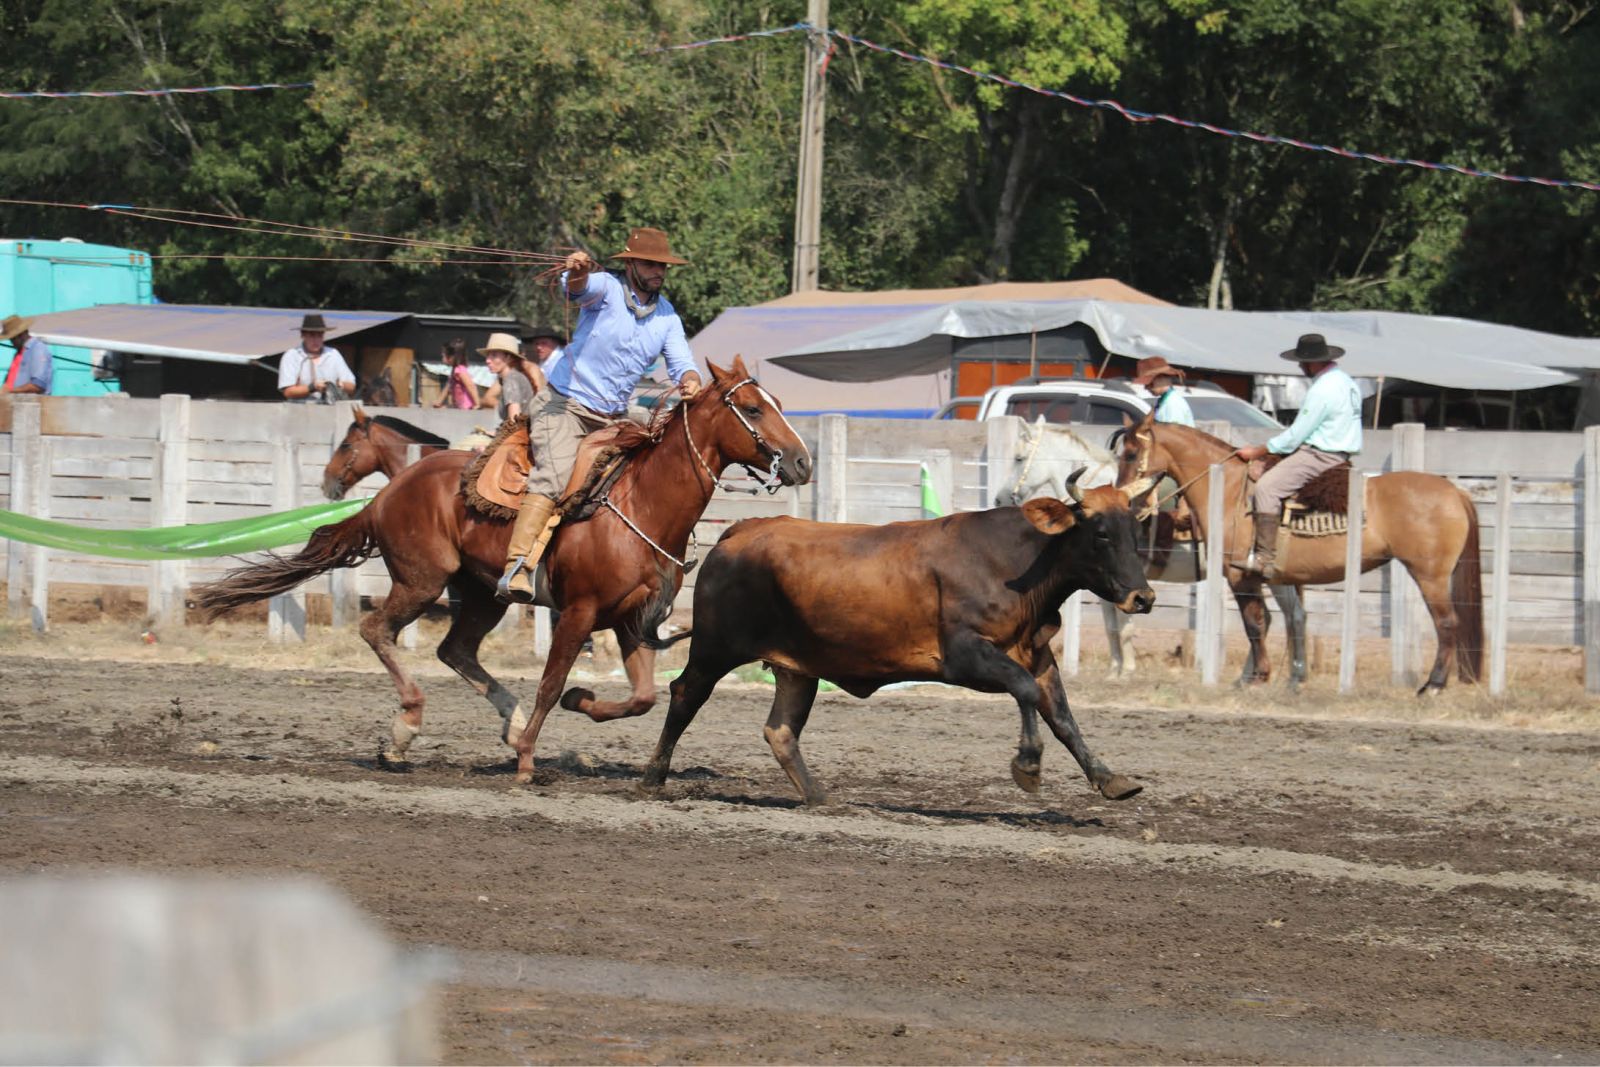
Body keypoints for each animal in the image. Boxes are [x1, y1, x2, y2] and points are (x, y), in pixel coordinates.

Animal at [640, 470, 1164, 806]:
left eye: (1135, 531)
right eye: (1100, 533)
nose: (1143, 597)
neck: (1016, 563)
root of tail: (742, 530)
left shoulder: (1037, 655)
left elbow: (1062, 715)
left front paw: (1109, 778)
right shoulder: (965, 655)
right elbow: (1025, 692)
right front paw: (1028, 766)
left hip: (798, 668)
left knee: (781, 730)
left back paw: (820, 797)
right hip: (715, 647)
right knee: (684, 694)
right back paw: (652, 777)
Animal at [1107, 409, 1478, 694]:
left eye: (1130, 454)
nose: (1124, 498)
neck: (1230, 489)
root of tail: (1455, 492)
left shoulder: (1240, 576)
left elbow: (1254, 623)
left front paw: (1258, 676)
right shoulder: (1270, 578)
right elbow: (1274, 621)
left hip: (1429, 575)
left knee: (1447, 623)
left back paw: (1433, 685)